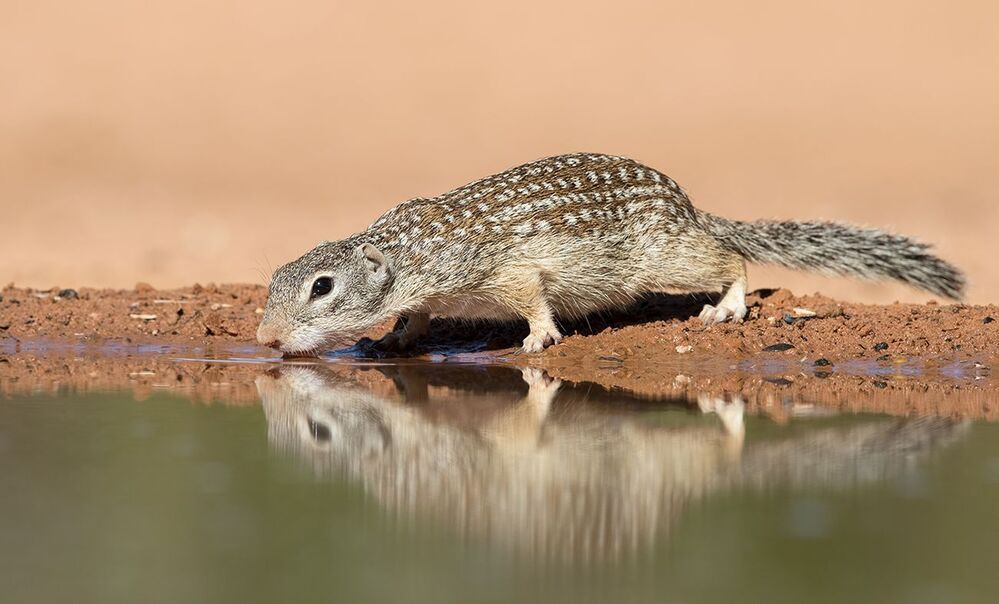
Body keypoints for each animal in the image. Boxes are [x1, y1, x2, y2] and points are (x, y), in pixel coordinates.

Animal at [257, 153, 964, 355]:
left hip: (669, 257)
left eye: (321, 287)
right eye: (274, 280)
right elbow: (417, 316)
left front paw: (538, 337)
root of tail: (687, 204)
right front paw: (393, 338)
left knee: (729, 259)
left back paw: (726, 306)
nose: (264, 339)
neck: (407, 249)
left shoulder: (506, 269)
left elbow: (532, 299)